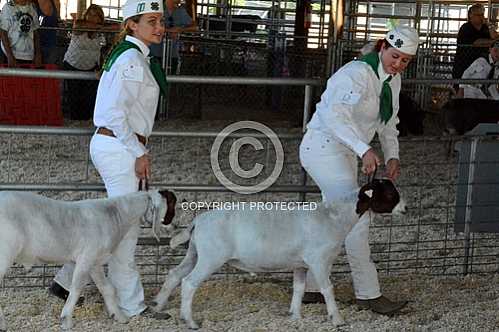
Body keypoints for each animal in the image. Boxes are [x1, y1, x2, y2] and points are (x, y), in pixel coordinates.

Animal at [0, 188, 177, 330]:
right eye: (171, 203)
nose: (175, 226)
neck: (116, 214)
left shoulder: (95, 262)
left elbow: (108, 289)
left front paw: (119, 317)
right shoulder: (86, 258)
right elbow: (76, 288)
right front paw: (66, 321)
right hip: (5, 252)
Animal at [152, 178, 406, 328]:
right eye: (389, 195)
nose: (405, 209)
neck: (334, 217)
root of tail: (198, 221)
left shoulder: (301, 264)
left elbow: (299, 289)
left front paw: (295, 316)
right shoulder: (319, 260)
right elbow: (327, 289)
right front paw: (337, 319)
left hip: (195, 253)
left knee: (174, 275)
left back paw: (158, 306)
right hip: (211, 257)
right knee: (189, 282)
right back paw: (190, 321)